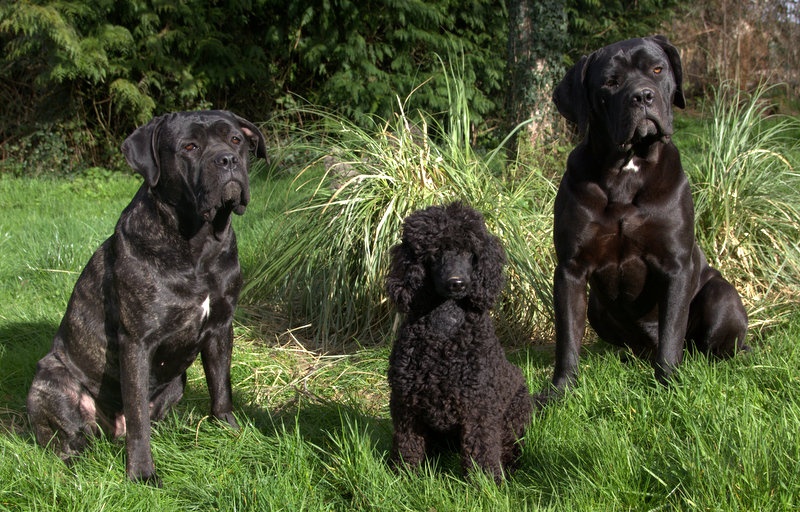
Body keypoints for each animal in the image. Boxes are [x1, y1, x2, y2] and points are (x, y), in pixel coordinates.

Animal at [26, 109, 268, 484]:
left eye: (235, 140)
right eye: (190, 146)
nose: (227, 159)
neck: (199, 245)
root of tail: (110, 432)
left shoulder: (220, 328)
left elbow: (221, 387)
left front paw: (229, 430)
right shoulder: (137, 342)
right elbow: (137, 412)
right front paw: (141, 472)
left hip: (177, 381)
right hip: (50, 378)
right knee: (70, 436)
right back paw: (77, 461)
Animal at [386, 202, 532, 482]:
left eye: (469, 252)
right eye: (435, 252)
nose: (457, 283)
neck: (446, 326)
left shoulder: (479, 408)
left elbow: (482, 449)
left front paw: (486, 483)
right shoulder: (406, 405)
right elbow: (408, 446)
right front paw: (404, 477)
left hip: (513, 415)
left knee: (509, 445)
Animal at [540, 36, 748, 402]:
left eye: (657, 69)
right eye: (610, 82)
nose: (642, 95)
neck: (627, 168)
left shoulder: (675, 265)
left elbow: (671, 332)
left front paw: (668, 384)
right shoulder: (571, 269)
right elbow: (567, 339)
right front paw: (560, 391)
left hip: (720, 296)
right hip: (597, 307)